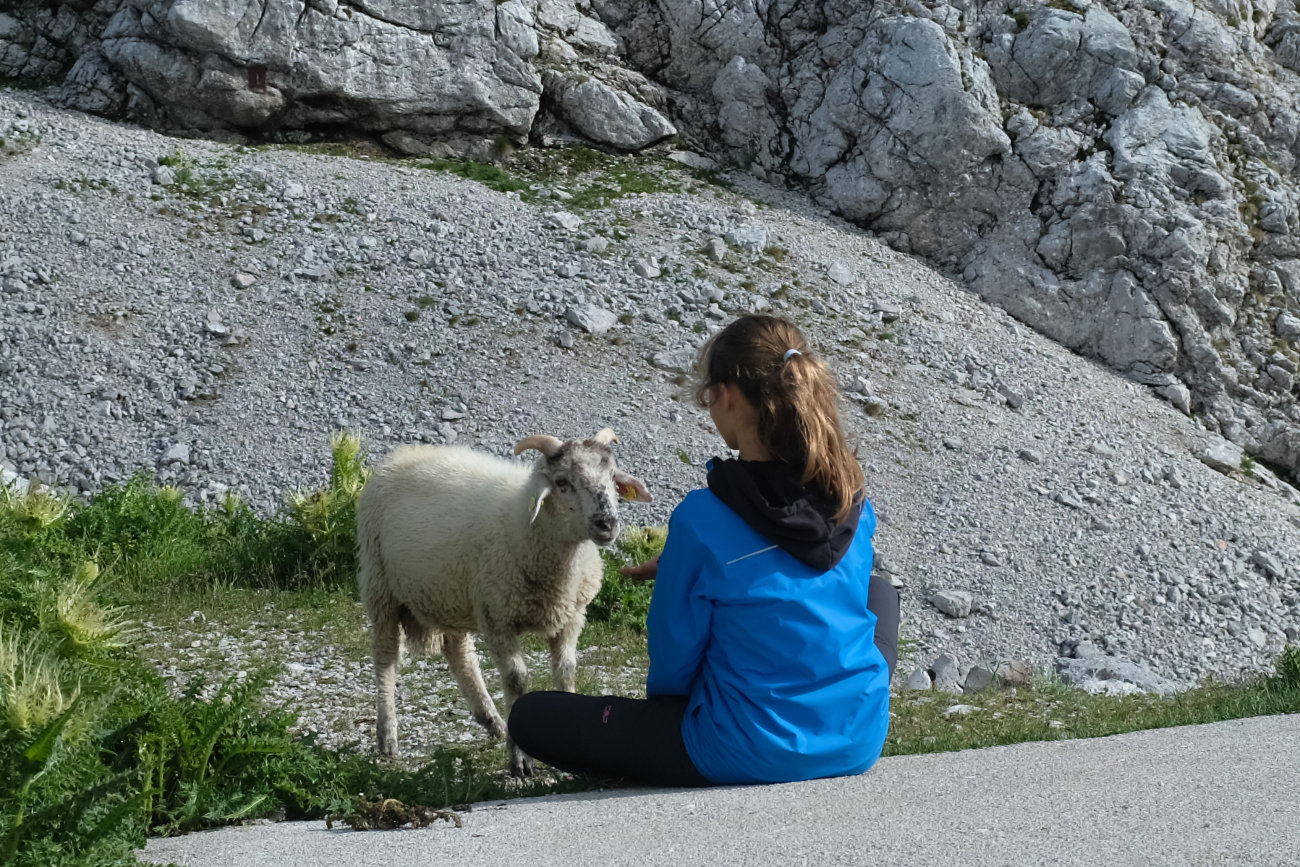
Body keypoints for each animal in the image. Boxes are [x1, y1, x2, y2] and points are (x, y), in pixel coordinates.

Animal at [356, 427, 652, 777]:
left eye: (612, 477)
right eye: (562, 482)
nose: (608, 524)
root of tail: (404, 453)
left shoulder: (571, 616)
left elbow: (566, 671)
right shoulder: (498, 619)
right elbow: (516, 679)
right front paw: (520, 760)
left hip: (452, 591)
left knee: (459, 653)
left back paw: (492, 721)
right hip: (380, 585)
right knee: (386, 658)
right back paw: (387, 735)